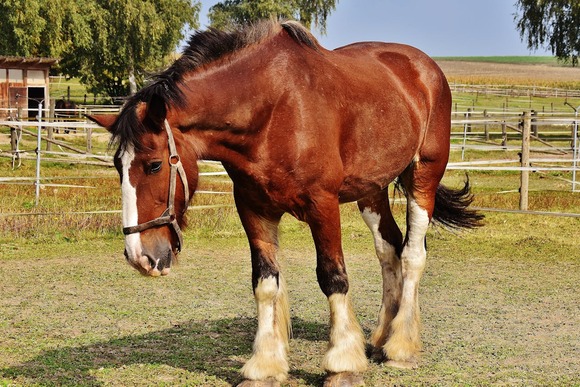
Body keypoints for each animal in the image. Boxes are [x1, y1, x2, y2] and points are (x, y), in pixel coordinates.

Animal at [89, 20, 480, 387]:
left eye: (154, 164)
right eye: (118, 166)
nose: (139, 256)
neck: (273, 110)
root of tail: (424, 68)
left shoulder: (323, 205)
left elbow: (333, 277)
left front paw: (342, 364)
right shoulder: (254, 209)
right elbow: (265, 284)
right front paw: (264, 366)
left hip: (423, 177)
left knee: (413, 254)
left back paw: (400, 346)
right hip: (371, 190)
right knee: (389, 249)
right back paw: (381, 337)